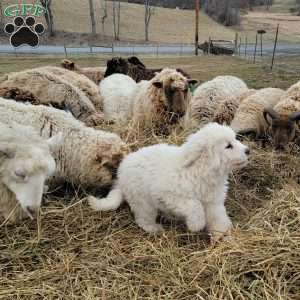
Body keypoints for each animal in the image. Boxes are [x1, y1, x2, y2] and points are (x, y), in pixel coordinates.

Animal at [89, 122, 251, 241]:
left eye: (235, 140)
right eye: (228, 146)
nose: (248, 150)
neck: (202, 170)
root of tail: (121, 175)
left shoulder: (213, 202)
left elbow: (219, 219)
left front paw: (223, 236)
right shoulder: (170, 195)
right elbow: (194, 205)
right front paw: (196, 225)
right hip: (143, 202)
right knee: (143, 219)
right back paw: (155, 228)